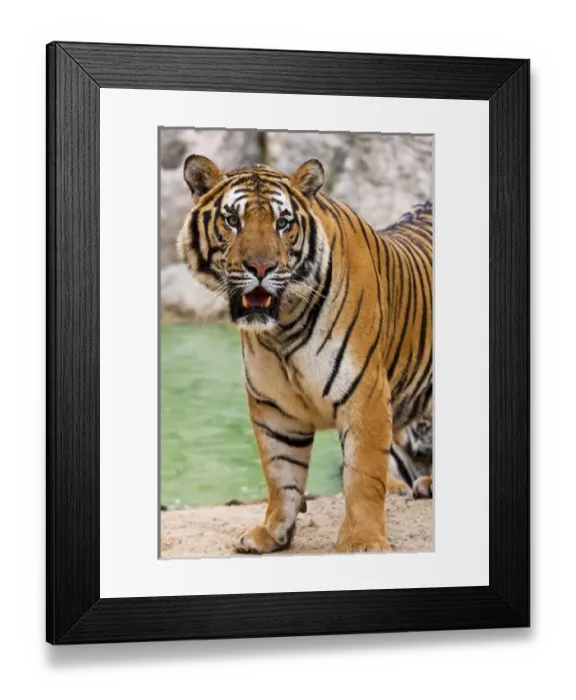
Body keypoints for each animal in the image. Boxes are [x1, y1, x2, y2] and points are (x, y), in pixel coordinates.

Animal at [176, 155, 433, 554]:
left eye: (283, 223)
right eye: (233, 220)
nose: (261, 268)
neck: (282, 329)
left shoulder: (366, 394)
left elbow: (363, 476)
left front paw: (364, 541)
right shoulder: (273, 405)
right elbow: (281, 473)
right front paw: (272, 532)